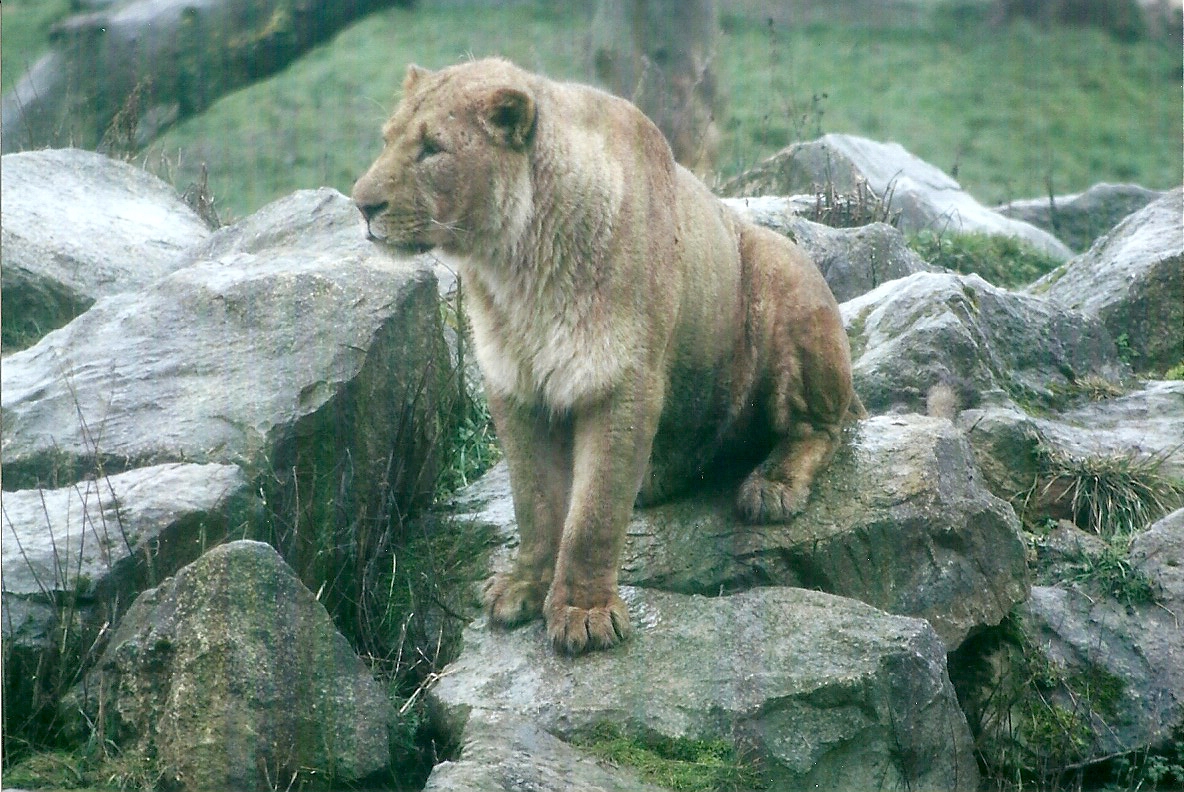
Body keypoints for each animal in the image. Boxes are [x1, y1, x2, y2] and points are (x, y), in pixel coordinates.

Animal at [352, 58, 861, 655]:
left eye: (432, 148)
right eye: (387, 140)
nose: (362, 204)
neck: (516, 267)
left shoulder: (623, 383)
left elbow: (593, 514)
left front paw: (583, 613)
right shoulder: (512, 383)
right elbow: (534, 501)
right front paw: (522, 588)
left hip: (783, 269)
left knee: (822, 428)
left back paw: (771, 487)